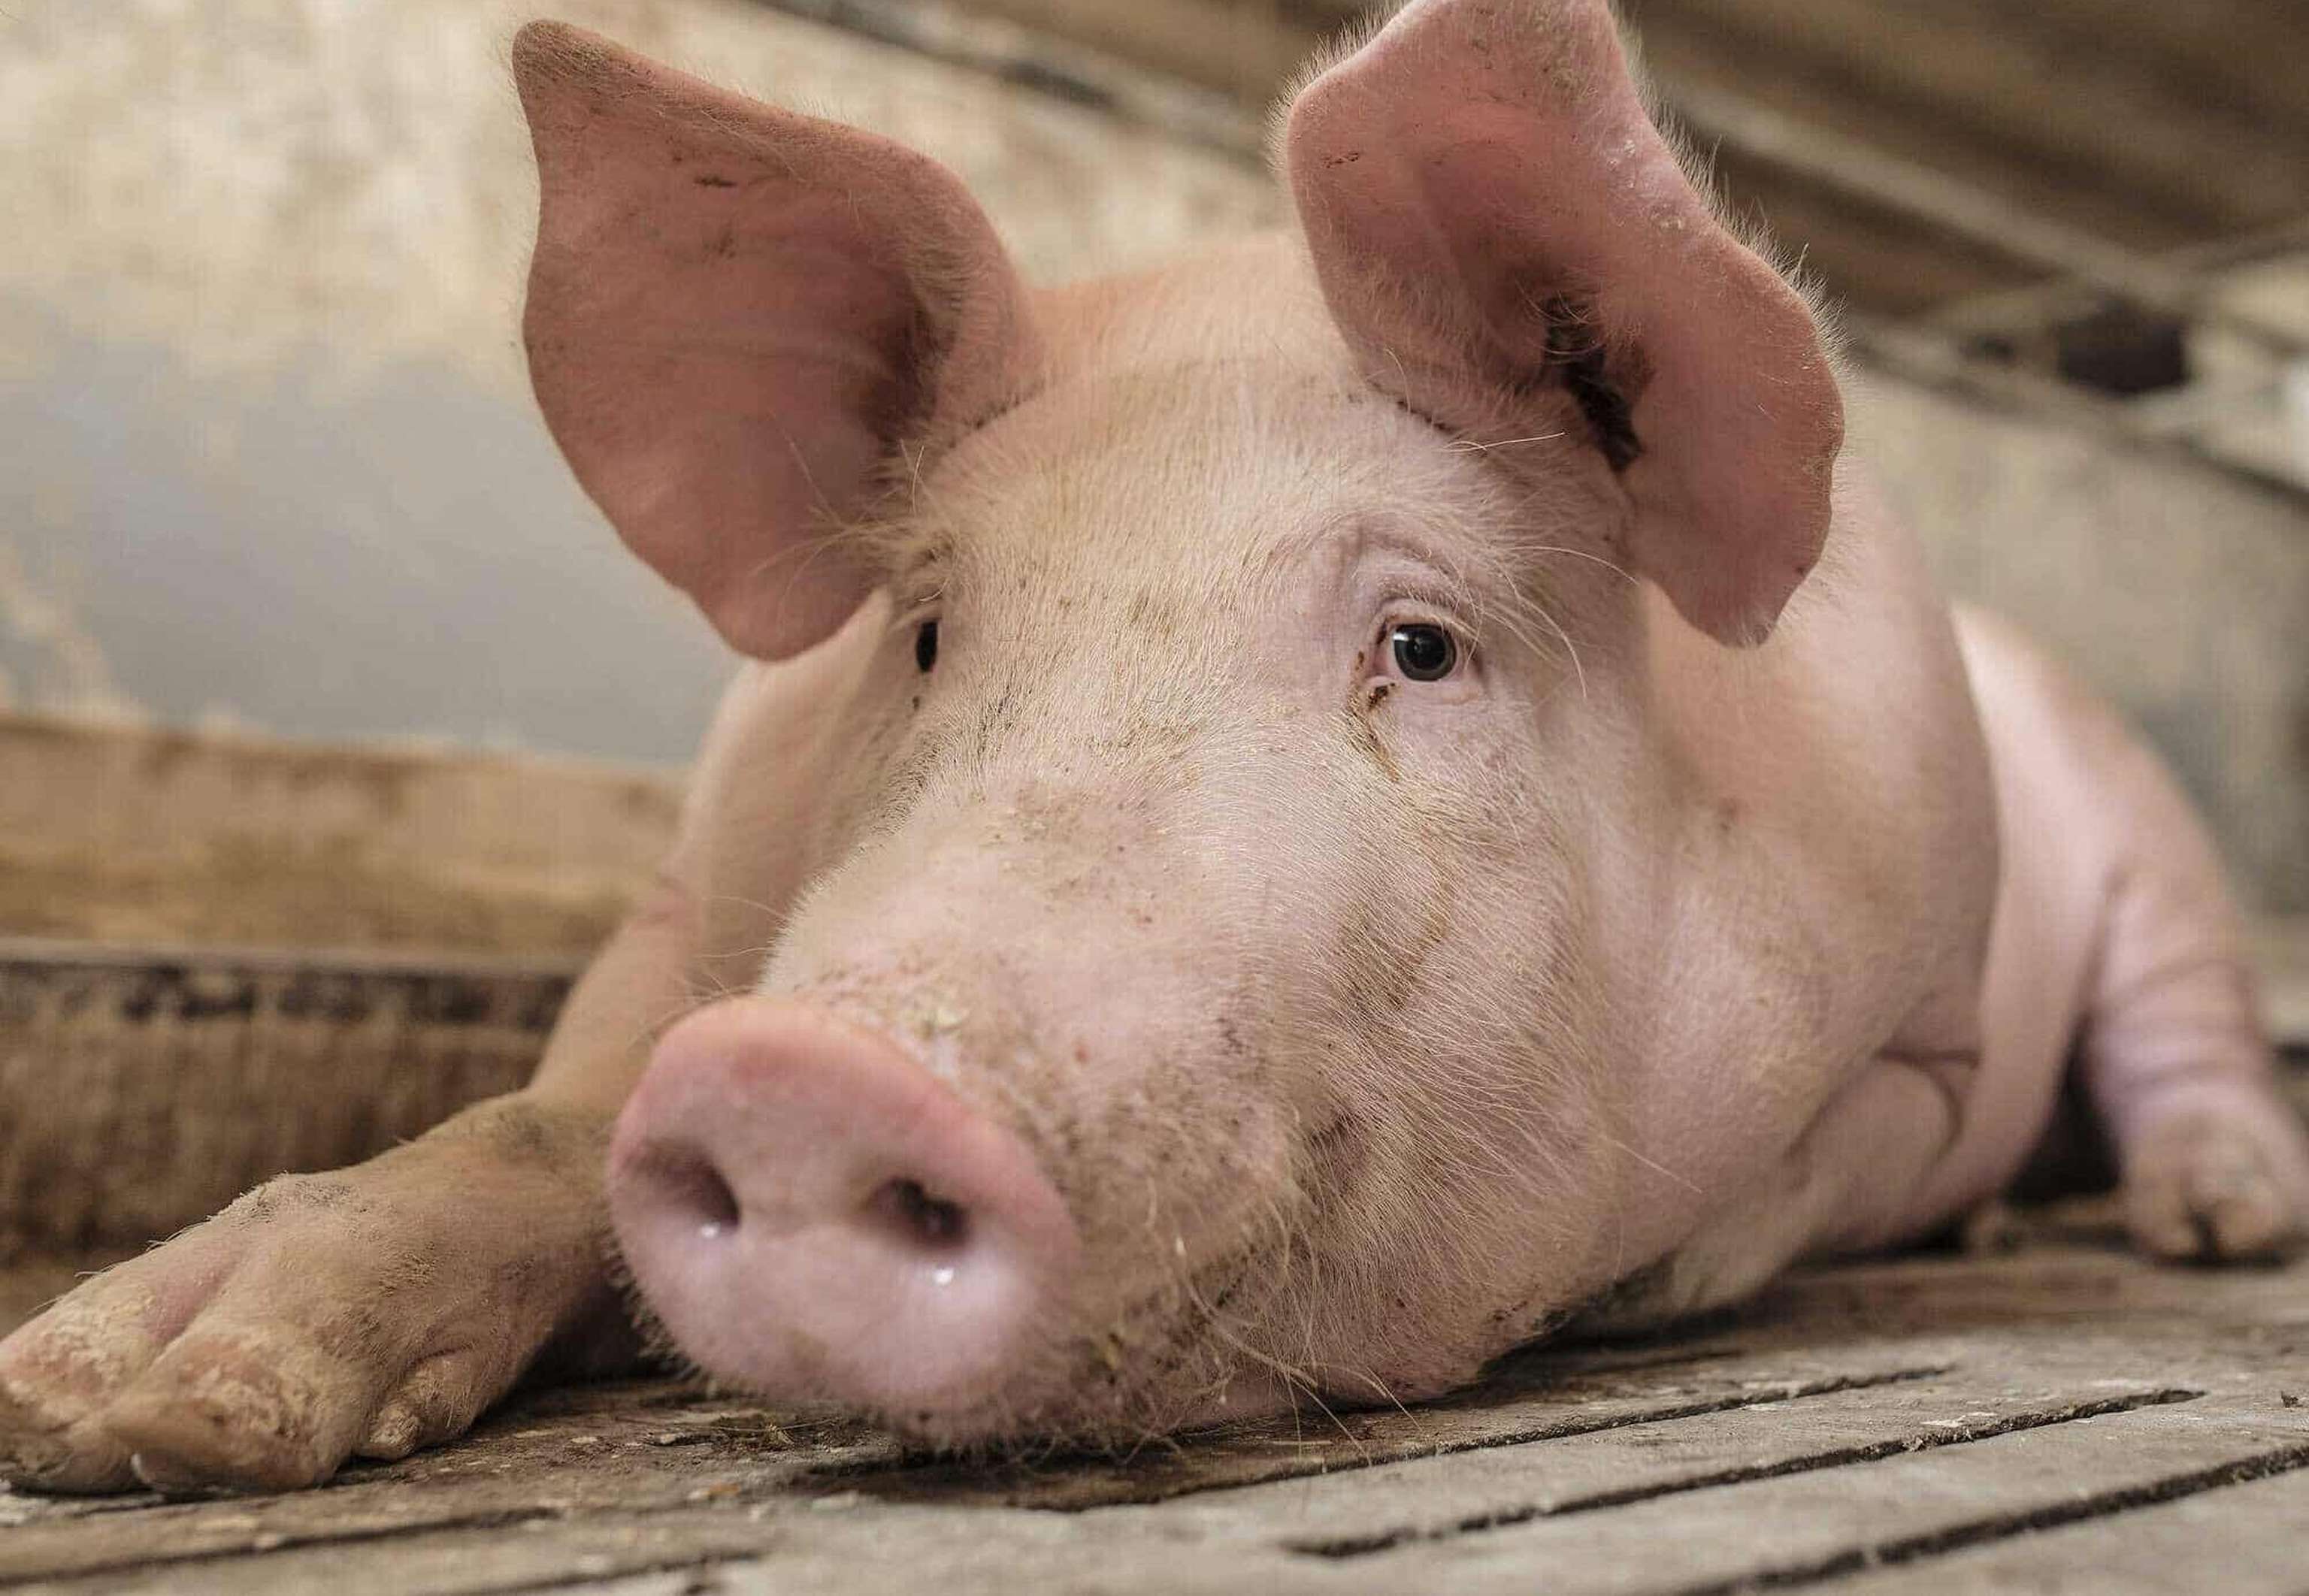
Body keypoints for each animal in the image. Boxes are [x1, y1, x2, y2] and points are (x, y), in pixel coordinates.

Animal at [4, 0, 2305, 1496]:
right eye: (926, 633)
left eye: (1419, 647)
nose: (811, 1069)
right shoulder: (685, 894)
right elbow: (553, 1114)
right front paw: (116, 1409)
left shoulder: (1920, 1024)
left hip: (2153, 839)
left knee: (2188, 1029)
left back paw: (2211, 1224)